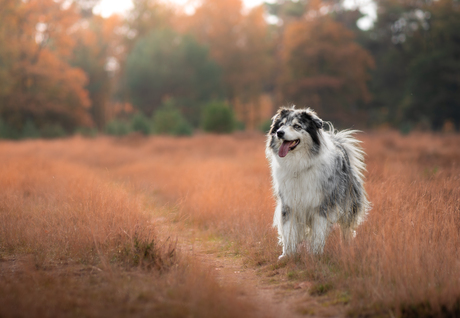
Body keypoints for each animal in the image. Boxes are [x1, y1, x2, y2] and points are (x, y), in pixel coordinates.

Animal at [266, 107, 370, 258]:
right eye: (281, 125)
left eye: (297, 126)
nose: (280, 133)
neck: (299, 165)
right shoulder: (289, 203)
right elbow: (289, 231)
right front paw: (287, 255)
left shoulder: (321, 205)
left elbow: (319, 232)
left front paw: (315, 254)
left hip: (349, 206)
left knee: (347, 230)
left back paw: (347, 247)